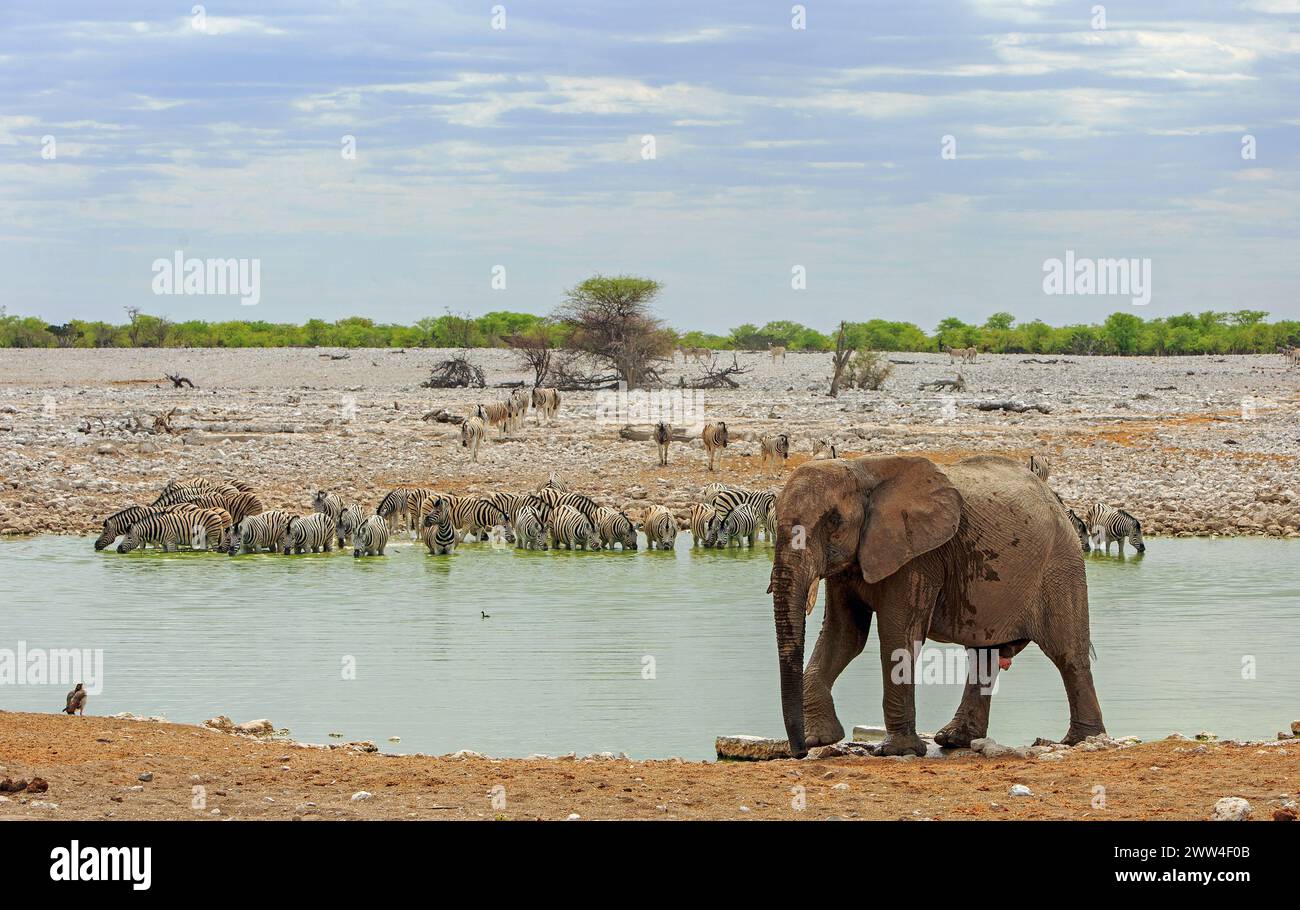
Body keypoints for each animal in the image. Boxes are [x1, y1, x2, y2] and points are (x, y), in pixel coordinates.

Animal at [769, 454, 1107, 759]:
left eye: (833, 521)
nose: (798, 753)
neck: (861, 469)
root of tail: (1056, 501)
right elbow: (843, 636)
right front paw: (820, 739)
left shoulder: (917, 556)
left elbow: (898, 635)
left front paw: (897, 751)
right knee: (984, 656)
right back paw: (955, 739)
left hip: (1060, 564)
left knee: (1067, 654)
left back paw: (1083, 740)